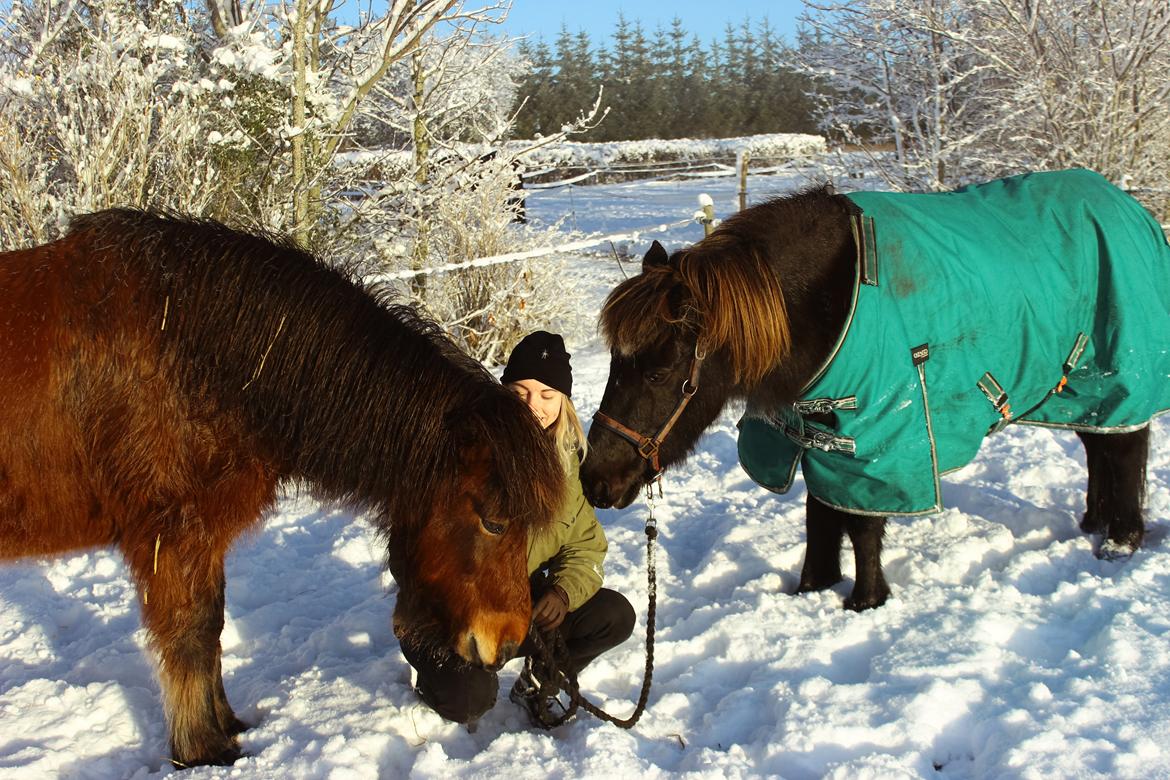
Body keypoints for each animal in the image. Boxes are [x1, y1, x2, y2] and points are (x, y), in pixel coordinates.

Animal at [0, 211, 566, 767]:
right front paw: (202, 749)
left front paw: (225, 725)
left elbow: (212, 627)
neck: (190, 353)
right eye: (494, 522)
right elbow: (191, 634)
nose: (509, 643)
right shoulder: (173, 537)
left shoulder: (201, 539)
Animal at [585, 170, 1170, 608]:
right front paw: (813, 588)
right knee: (1099, 446)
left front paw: (865, 601)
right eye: (615, 363)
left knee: (1125, 448)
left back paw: (1120, 540)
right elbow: (821, 512)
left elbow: (861, 523)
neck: (827, 299)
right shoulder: (815, 427)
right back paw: (1094, 522)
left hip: (1113, 369)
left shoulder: (880, 435)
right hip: (1075, 387)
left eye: (658, 373)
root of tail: (1132, 208)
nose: (597, 481)